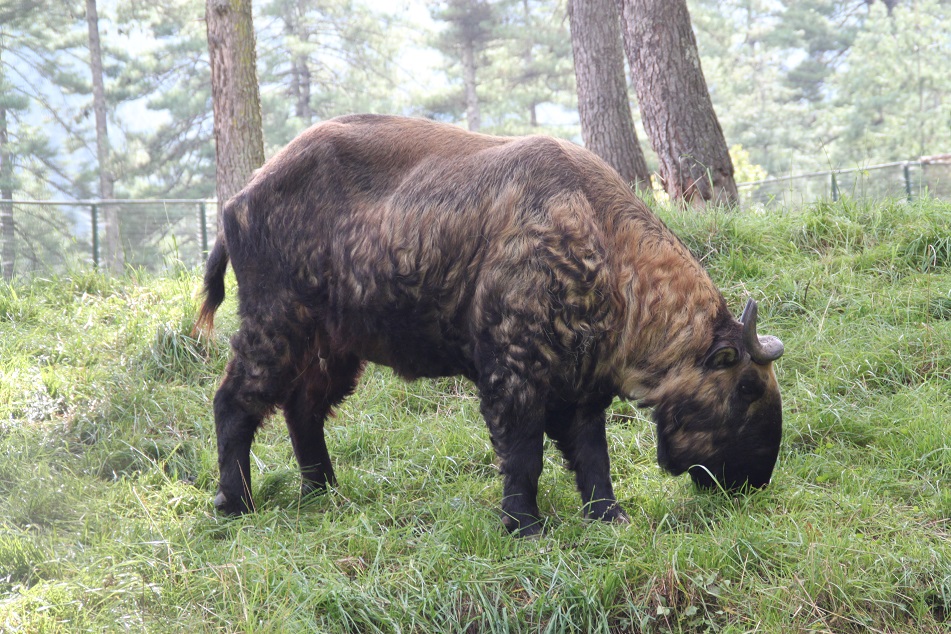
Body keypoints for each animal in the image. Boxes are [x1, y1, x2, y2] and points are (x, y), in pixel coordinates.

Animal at [196, 114, 784, 536]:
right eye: (746, 387)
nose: (755, 481)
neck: (607, 249)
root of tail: (240, 197)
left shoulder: (580, 388)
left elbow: (593, 458)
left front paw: (608, 515)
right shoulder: (514, 375)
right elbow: (524, 457)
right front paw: (524, 525)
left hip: (334, 347)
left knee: (302, 410)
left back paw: (323, 492)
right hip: (276, 325)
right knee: (233, 402)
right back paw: (234, 501)